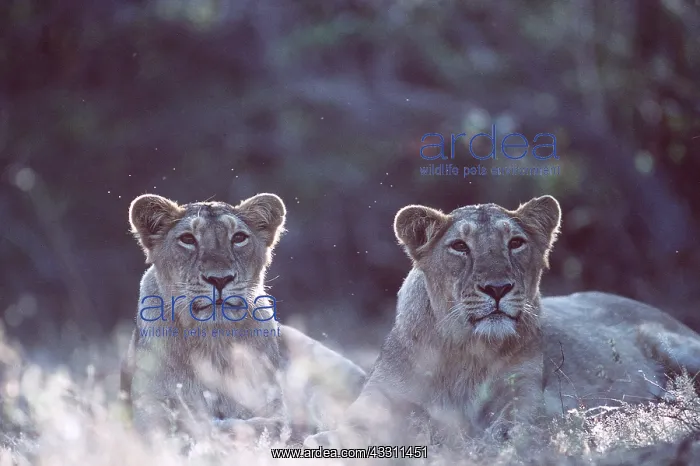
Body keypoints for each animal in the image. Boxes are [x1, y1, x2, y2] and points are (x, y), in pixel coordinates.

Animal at [120, 193, 366, 442]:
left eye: (239, 238)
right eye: (187, 239)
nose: (219, 279)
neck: (213, 339)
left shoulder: (271, 405)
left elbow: (259, 425)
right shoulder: (149, 413)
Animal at [305, 195, 700, 449]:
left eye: (516, 243)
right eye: (459, 246)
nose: (497, 288)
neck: (462, 350)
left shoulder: (523, 397)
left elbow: (508, 430)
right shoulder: (378, 399)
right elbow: (347, 431)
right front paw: (323, 440)